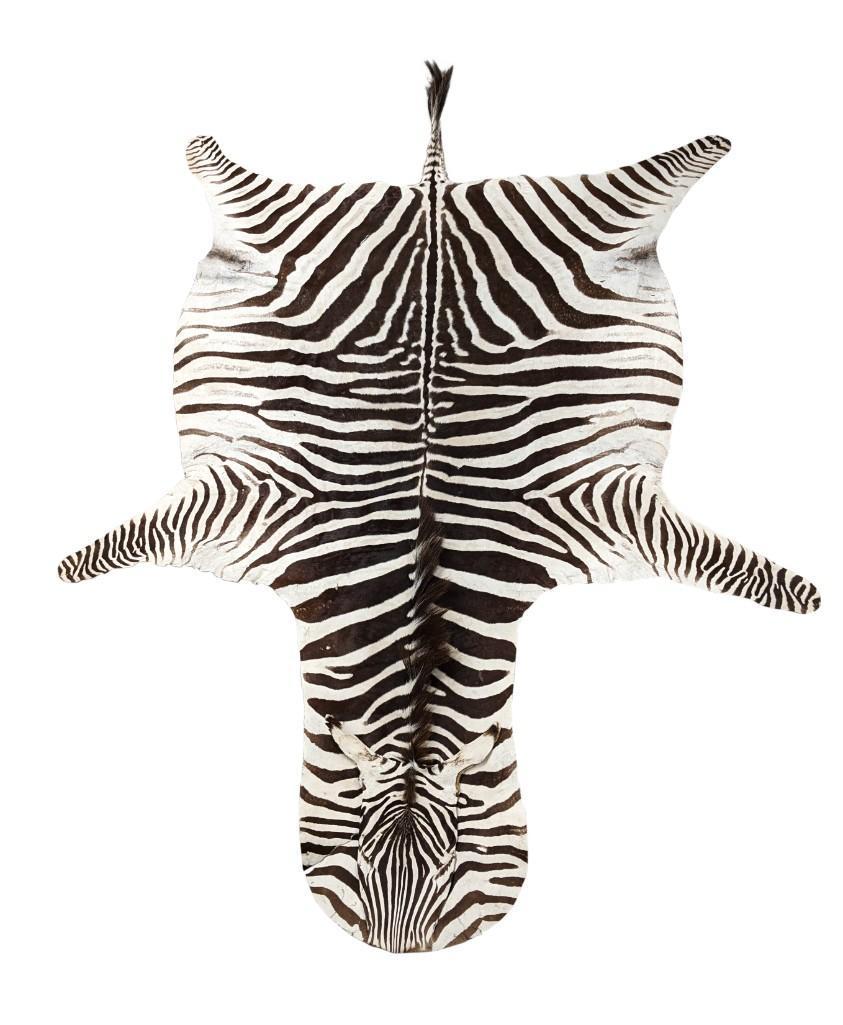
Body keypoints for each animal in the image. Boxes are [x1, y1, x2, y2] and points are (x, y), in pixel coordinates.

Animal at [58, 61, 820, 953]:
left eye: (458, 874)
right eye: (352, 878)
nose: (402, 955)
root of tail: (431, 198)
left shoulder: (606, 508)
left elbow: (737, 568)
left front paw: (804, 596)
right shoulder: (239, 503)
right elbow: (103, 553)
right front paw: (67, 568)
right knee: (208, 153)